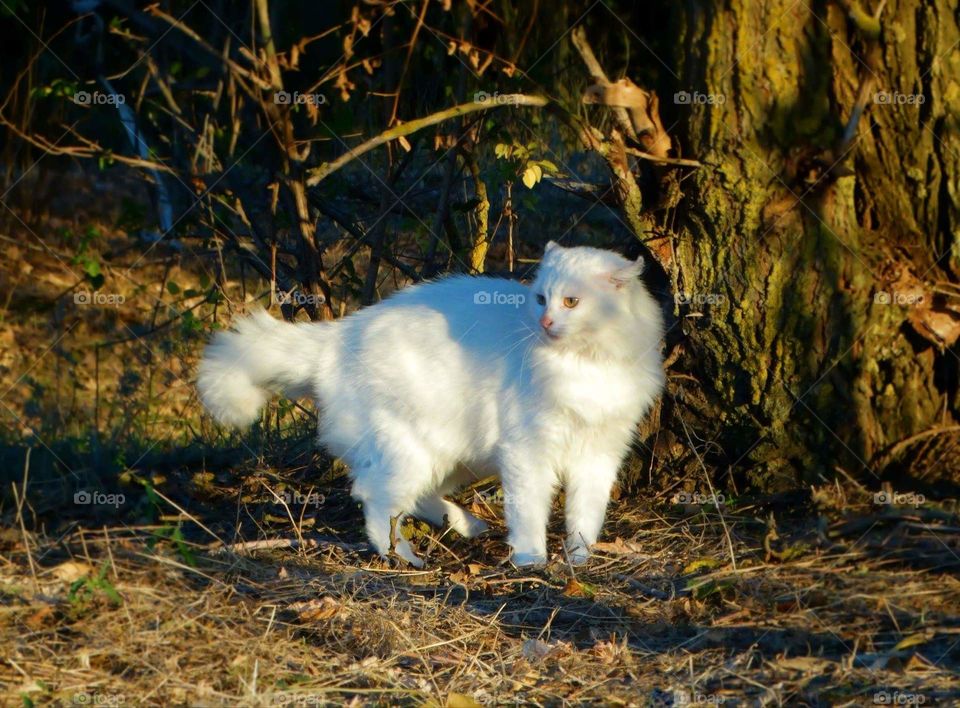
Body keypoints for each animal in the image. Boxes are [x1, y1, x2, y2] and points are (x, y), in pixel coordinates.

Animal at [195, 242, 660, 564]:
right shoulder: (528, 451)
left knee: (413, 499)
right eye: (542, 299)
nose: (544, 322)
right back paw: (403, 556)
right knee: (374, 499)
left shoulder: (599, 453)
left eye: (571, 302)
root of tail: (339, 335)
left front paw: (578, 559)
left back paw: (465, 523)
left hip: (452, 457)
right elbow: (530, 512)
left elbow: (585, 515)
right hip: (412, 451)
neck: (585, 365)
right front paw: (531, 560)